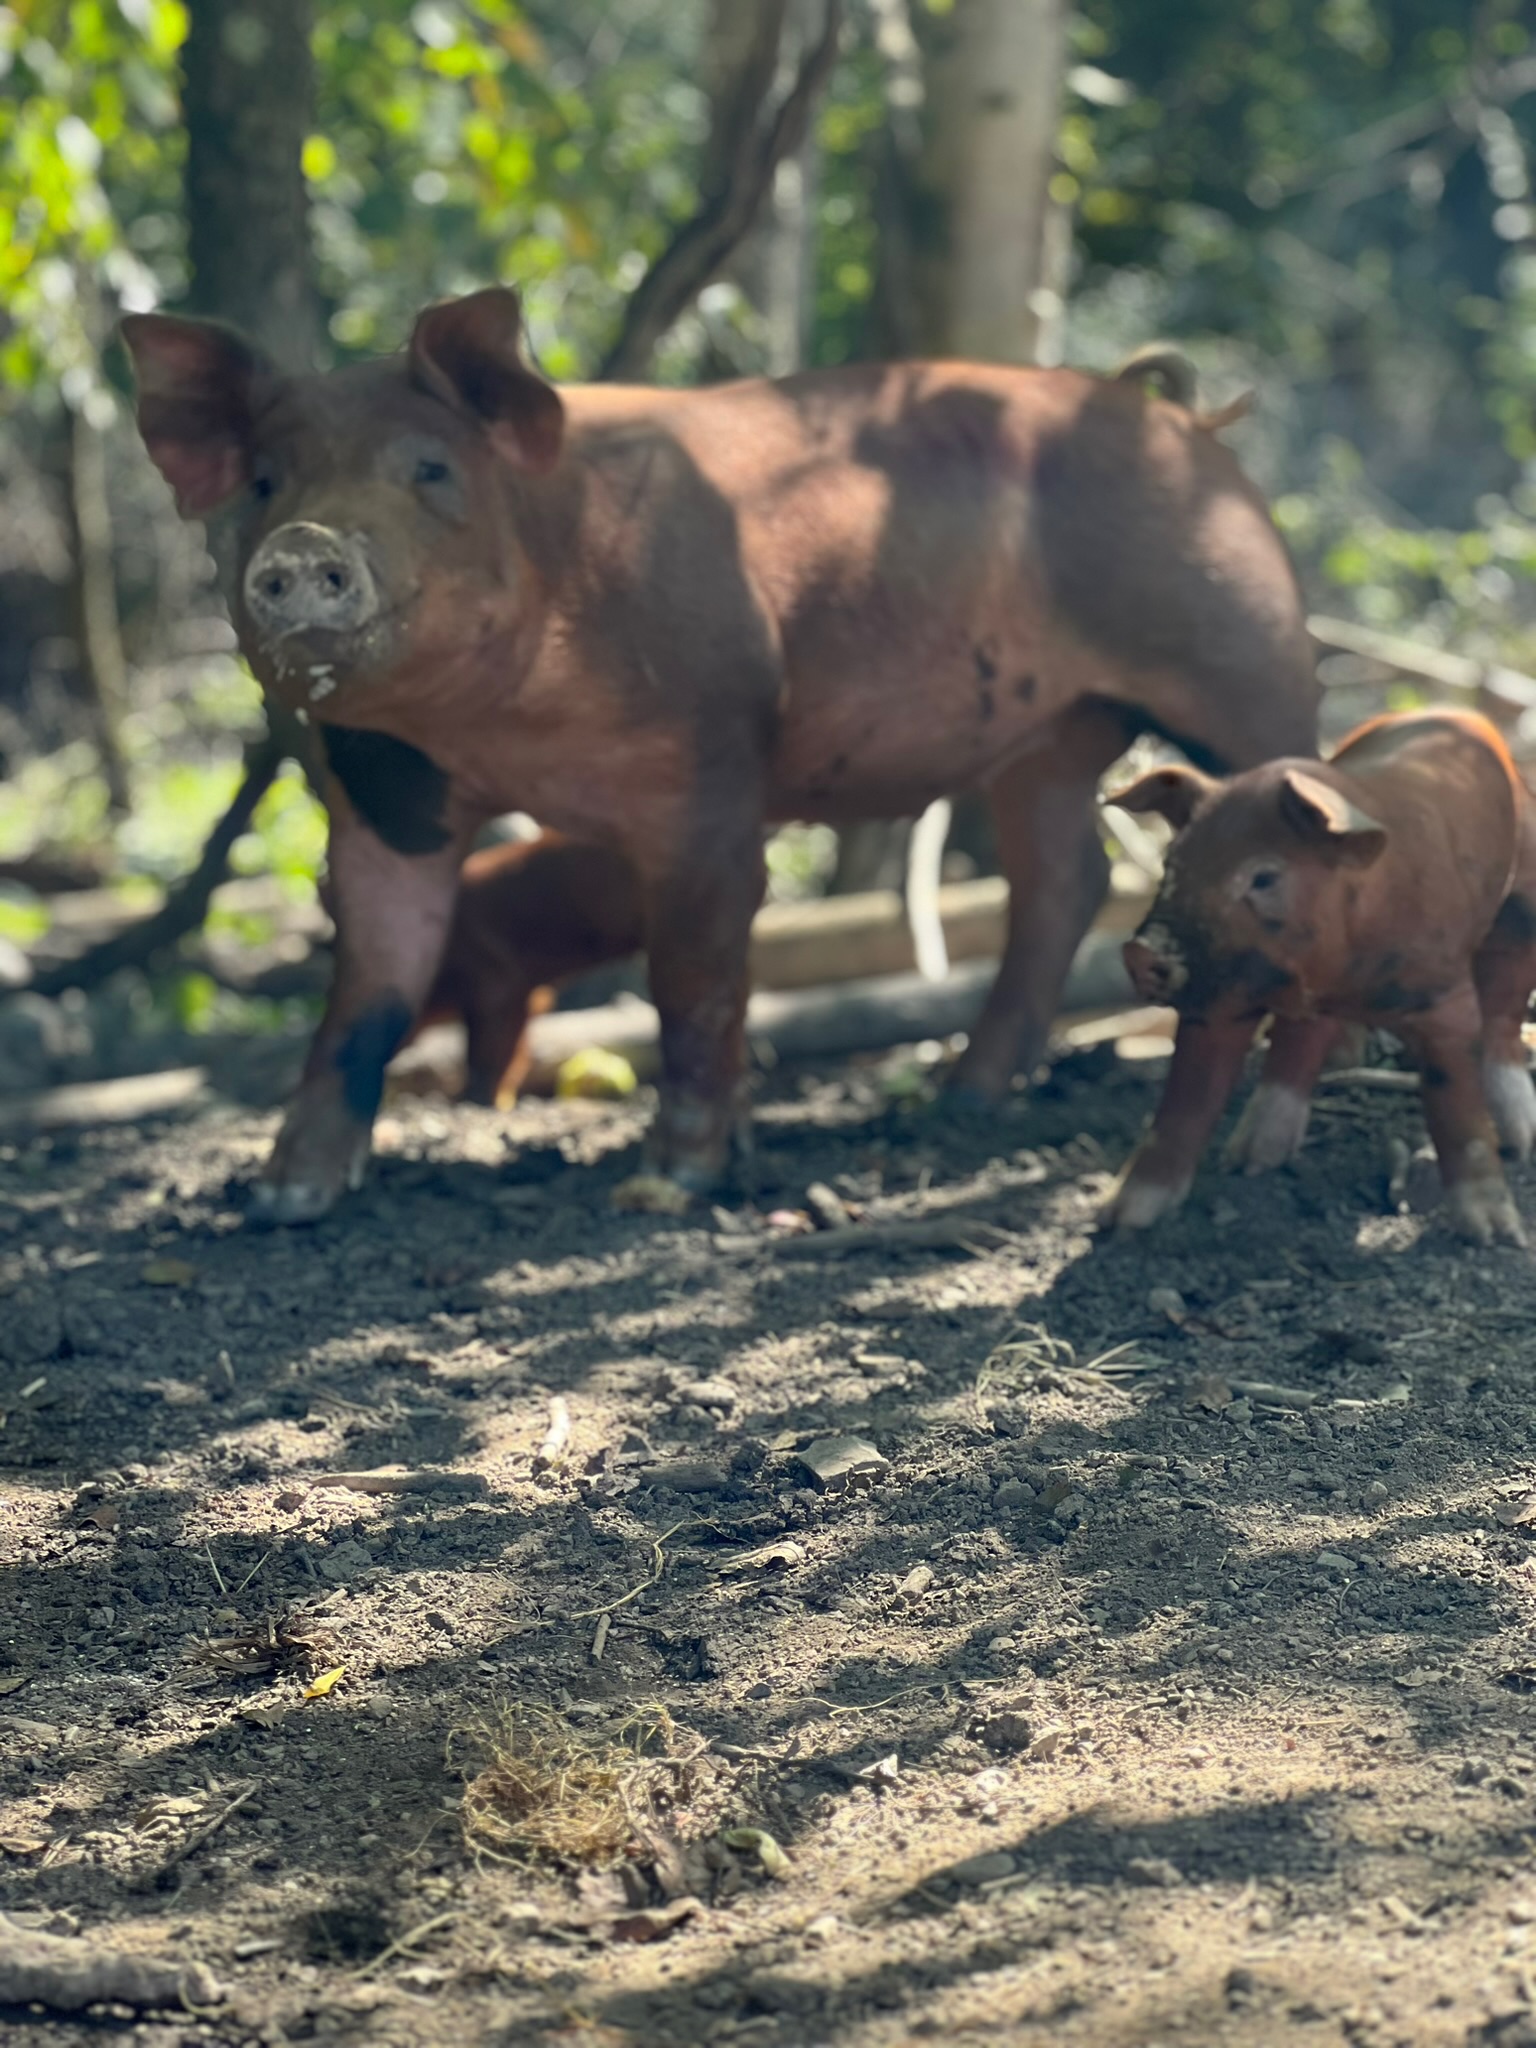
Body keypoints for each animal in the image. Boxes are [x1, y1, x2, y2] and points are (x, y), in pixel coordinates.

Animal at [411, 832, 642, 1108]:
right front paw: (499, 1102)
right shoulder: (524, 993)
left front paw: (471, 1100)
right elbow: (512, 1050)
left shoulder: (493, 980)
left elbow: (485, 1053)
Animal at [1108, 709, 1536, 1245]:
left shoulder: (1443, 998)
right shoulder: (1216, 997)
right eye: (1171, 863)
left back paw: (1519, 1138)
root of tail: (1460, 713)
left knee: (1504, 1010)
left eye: (1264, 878)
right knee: (1302, 1036)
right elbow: (1185, 1101)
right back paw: (1251, 1159)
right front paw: (1120, 1220)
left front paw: (1493, 1234)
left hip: (1522, 903)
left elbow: (1456, 1106)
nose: (1141, 950)